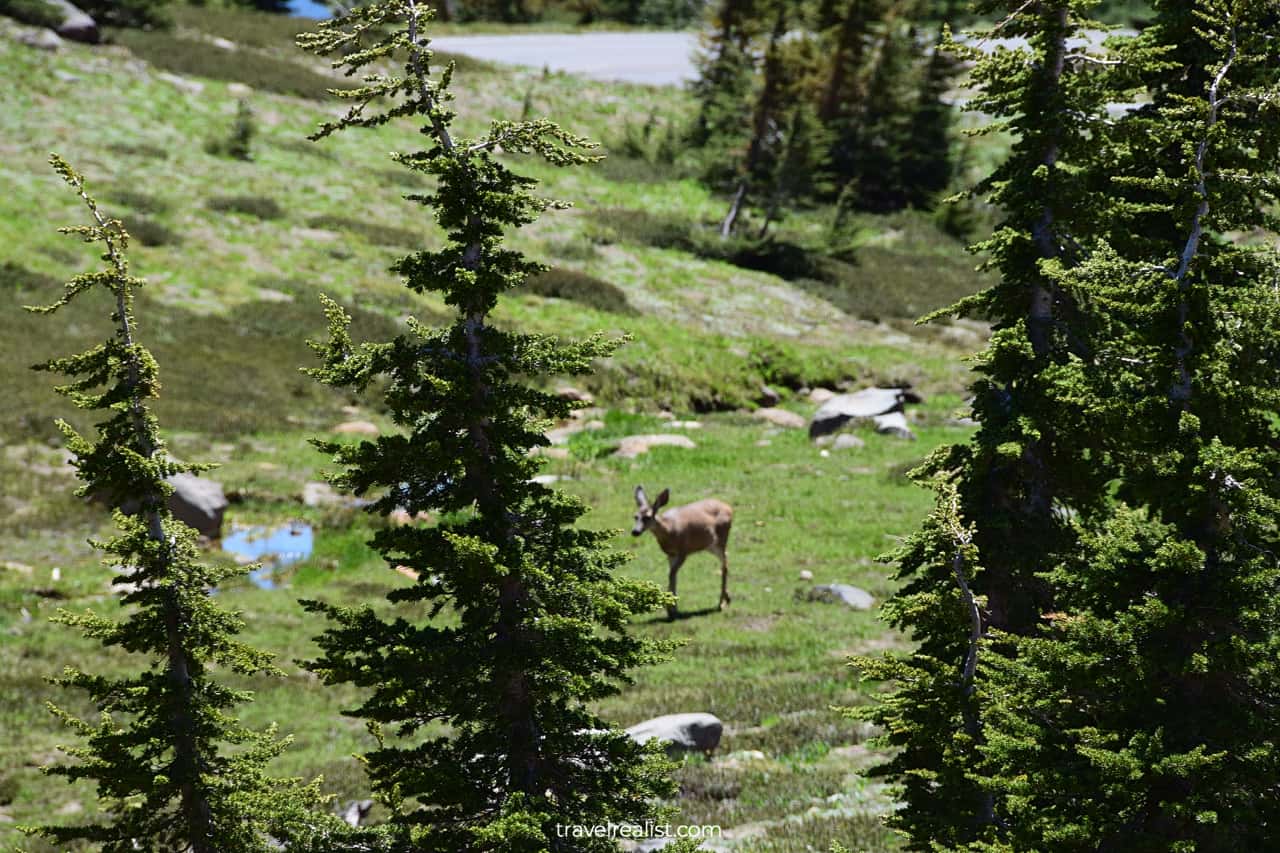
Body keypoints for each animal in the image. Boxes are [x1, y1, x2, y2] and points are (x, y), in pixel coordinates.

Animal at [629, 484, 732, 617]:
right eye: (635, 516)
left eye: (647, 517)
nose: (635, 531)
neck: (669, 532)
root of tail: (729, 507)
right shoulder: (670, 554)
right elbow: (672, 575)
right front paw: (672, 608)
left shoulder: (684, 551)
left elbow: (671, 574)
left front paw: (671, 609)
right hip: (709, 545)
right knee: (726, 559)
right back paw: (727, 598)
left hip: (721, 538)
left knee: (725, 563)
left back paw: (721, 603)